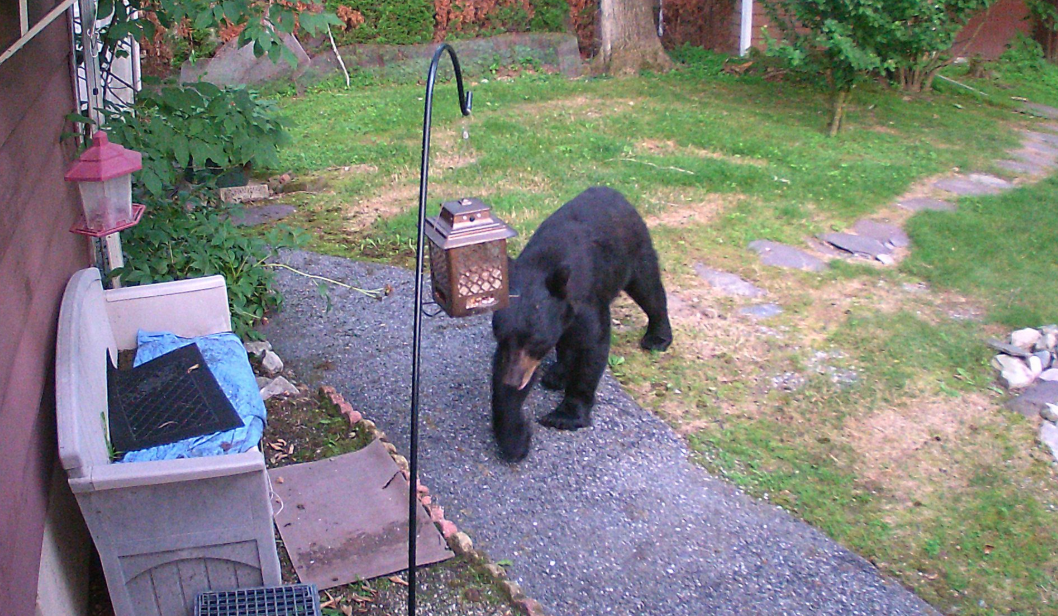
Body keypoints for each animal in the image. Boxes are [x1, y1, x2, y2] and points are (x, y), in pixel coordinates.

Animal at [490, 186, 672, 461]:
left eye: (537, 342)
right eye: (499, 335)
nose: (513, 380)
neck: (542, 267)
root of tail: (612, 191)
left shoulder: (586, 303)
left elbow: (592, 349)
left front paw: (565, 416)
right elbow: (504, 376)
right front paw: (514, 438)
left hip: (634, 249)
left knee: (649, 288)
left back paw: (658, 337)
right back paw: (557, 374)